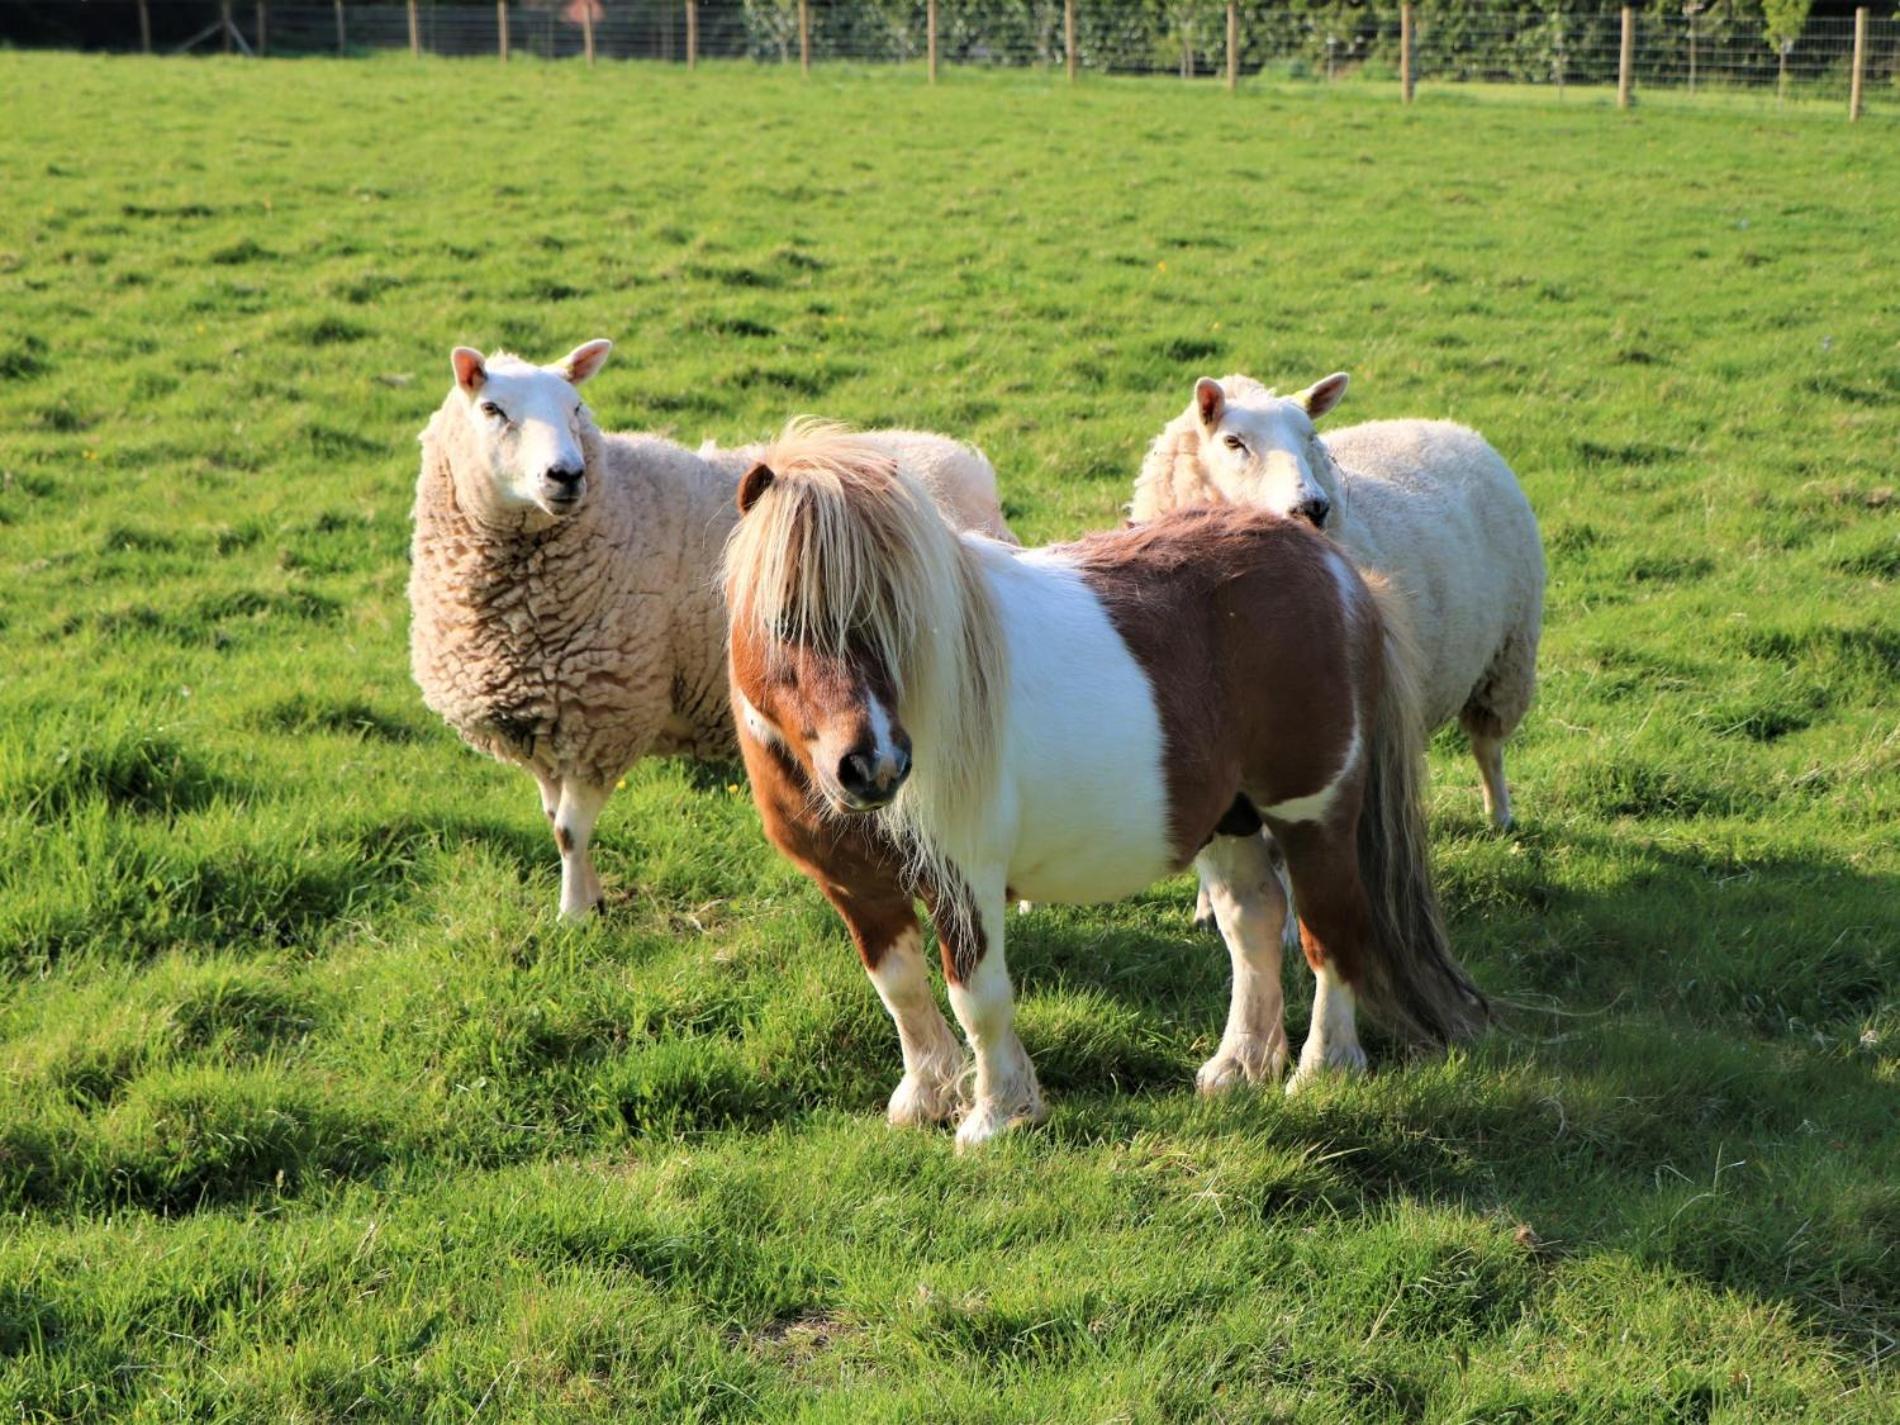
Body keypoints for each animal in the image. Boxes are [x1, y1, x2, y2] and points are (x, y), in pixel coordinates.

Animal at [410, 347, 1018, 927]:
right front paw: (589, 900)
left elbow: (568, 830)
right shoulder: (546, 725)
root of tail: (966, 462)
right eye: (493, 410)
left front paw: (574, 916)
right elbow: (554, 820)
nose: (567, 475)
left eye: (576, 408)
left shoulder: (603, 716)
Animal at [725, 418, 1482, 1147]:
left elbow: (977, 997)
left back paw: (1322, 1068)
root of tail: (1336, 571)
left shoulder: (963, 877)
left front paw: (995, 1117)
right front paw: (927, 1099)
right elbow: (901, 989)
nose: (874, 765)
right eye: (783, 620)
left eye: (897, 621)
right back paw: (1240, 1065)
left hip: (1311, 812)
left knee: (1330, 930)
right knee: (1253, 923)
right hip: (1229, 817)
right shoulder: (858, 887)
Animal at [1124, 374, 1542, 927]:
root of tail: (1448, 425)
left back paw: (1500, 814)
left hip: (1506, 660)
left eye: (1310, 437)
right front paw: (1208, 908)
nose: (1313, 507)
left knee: (1487, 748)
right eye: (1234, 442)